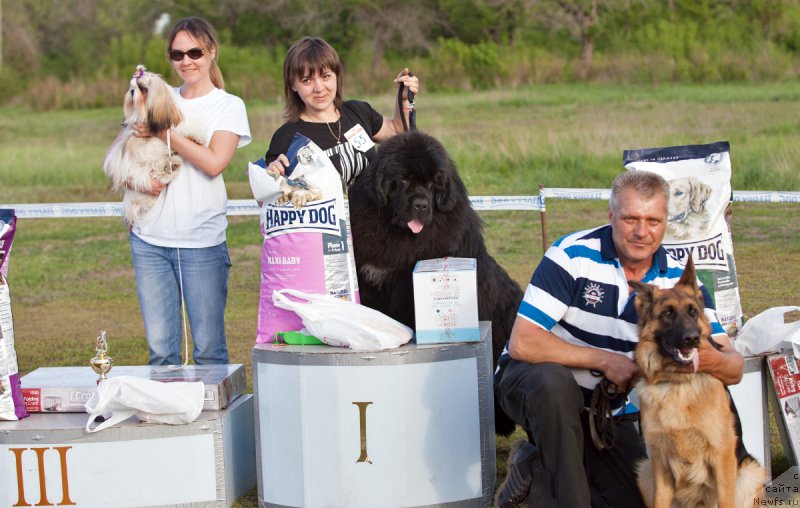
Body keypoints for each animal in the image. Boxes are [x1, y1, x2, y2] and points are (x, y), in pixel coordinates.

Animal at [101, 65, 206, 224]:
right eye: (132, 87)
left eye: (142, 88)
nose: (132, 91)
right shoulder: (139, 143)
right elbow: (154, 150)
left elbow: (184, 127)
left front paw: (197, 138)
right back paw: (170, 166)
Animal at [628, 260, 764, 506]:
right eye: (668, 313)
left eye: (692, 311)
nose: (691, 338)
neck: (677, 383)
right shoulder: (660, 462)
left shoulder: (722, 455)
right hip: (645, 471)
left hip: (751, 472)